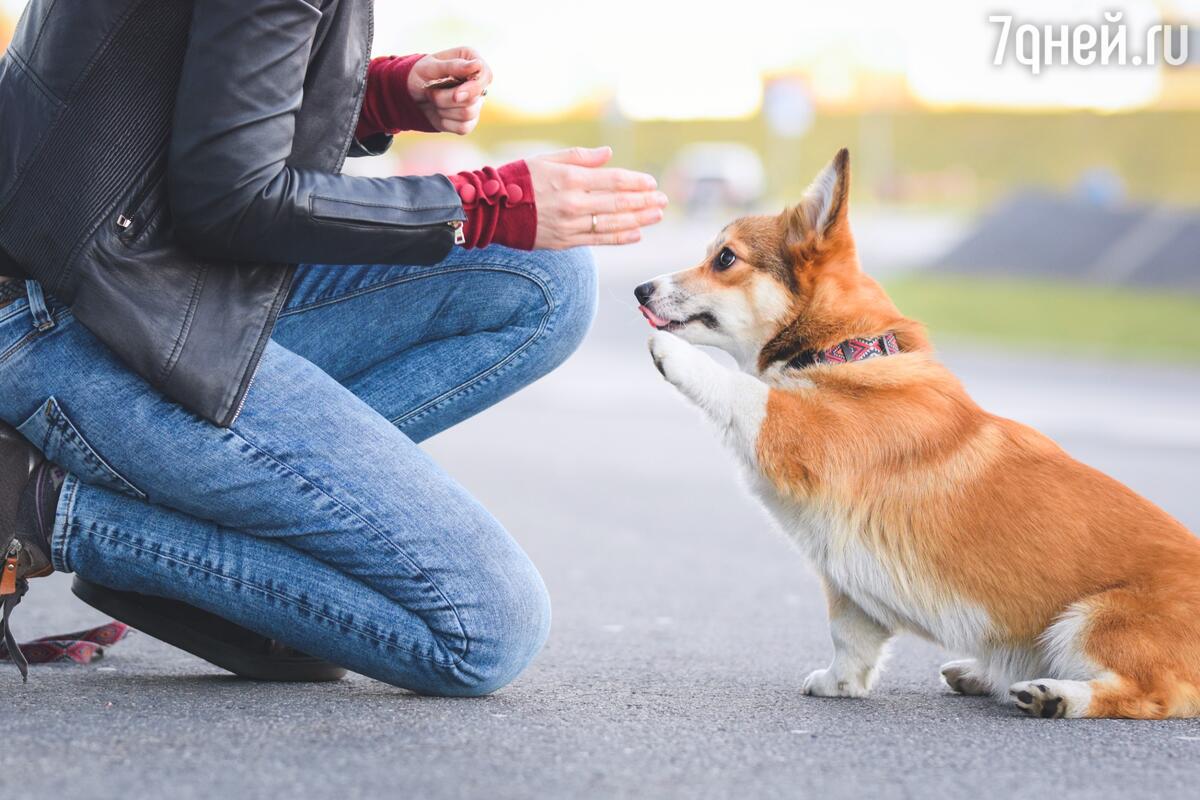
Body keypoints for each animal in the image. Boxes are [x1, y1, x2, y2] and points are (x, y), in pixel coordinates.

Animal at [643, 148, 1200, 719]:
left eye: (725, 258)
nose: (641, 289)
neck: (842, 350)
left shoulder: (799, 432)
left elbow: (743, 391)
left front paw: (673, 355)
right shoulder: (846, 579)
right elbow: (849, 636)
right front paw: (840, 683)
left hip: (1095, 619)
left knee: (1152, 693)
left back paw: (1052, 695)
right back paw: (982, 674)